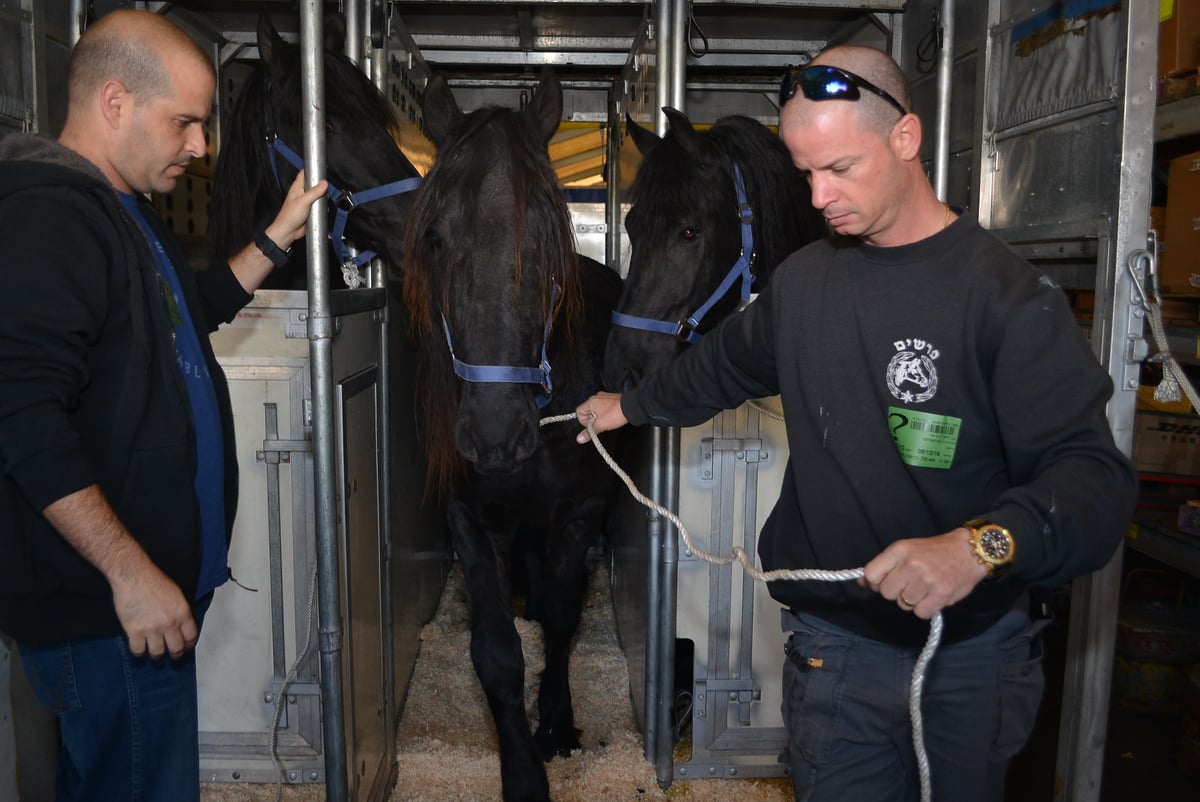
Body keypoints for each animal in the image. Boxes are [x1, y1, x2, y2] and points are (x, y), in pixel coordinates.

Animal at [405, 72, 628, 797]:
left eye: (548, 233)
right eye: (436, 237)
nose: (495, 435)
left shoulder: (581, 510)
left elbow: (560, 619)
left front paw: (556, 725)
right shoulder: (469, 516)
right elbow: (496, 650)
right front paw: (523, 769)